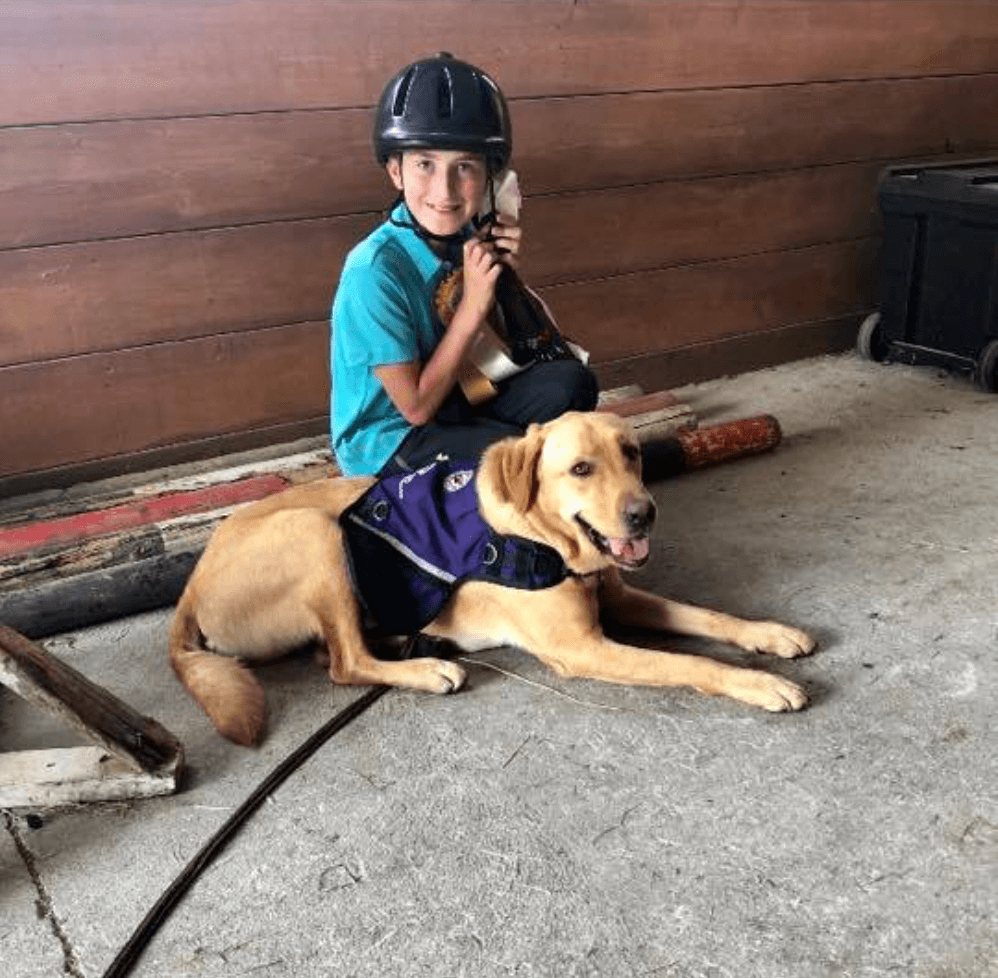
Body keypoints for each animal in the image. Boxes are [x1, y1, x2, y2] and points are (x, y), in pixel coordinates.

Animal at [170, 410, 812, 740]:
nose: (644, 513)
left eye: (631, 453)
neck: (545, 538)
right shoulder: (582, 648)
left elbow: (709, 617)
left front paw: (768, 634)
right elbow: (688, 663)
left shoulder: (618, 597)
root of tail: (189, 592)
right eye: (581, 469)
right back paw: (428, 669)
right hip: (317, 533)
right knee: (344, 663)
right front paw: (759, 683)